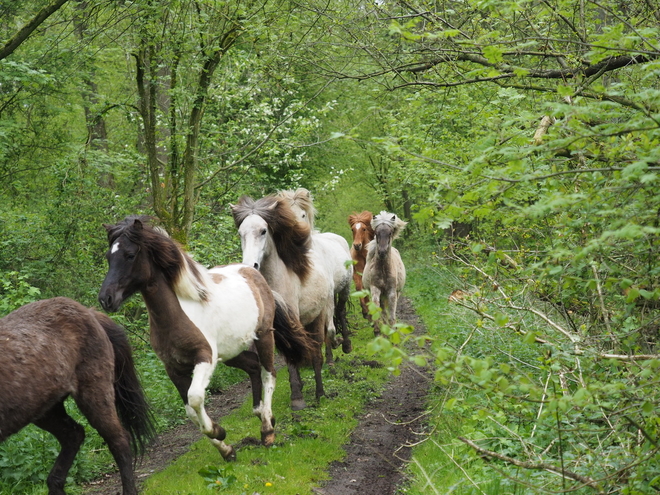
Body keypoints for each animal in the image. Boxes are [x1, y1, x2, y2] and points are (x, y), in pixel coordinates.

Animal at [98, 217, 314, 462]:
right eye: (108, 257)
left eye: (130, 255)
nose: (106, 299)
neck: (176, 316)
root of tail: (253, 273)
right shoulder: (174, 368)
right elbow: (190, 411)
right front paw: (227, 450)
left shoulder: (204, 359)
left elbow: (195, 398)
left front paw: (219, 432)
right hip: (231, 352)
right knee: (252, 366)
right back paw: (259, 412)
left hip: (264, 336)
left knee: (269, 373)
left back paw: (267, 429)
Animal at [276, 186, 354, 360]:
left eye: (303, 215)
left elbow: (329, 329)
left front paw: (335, 344)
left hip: (344, 288)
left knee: (340, 311)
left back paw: (346, 345)